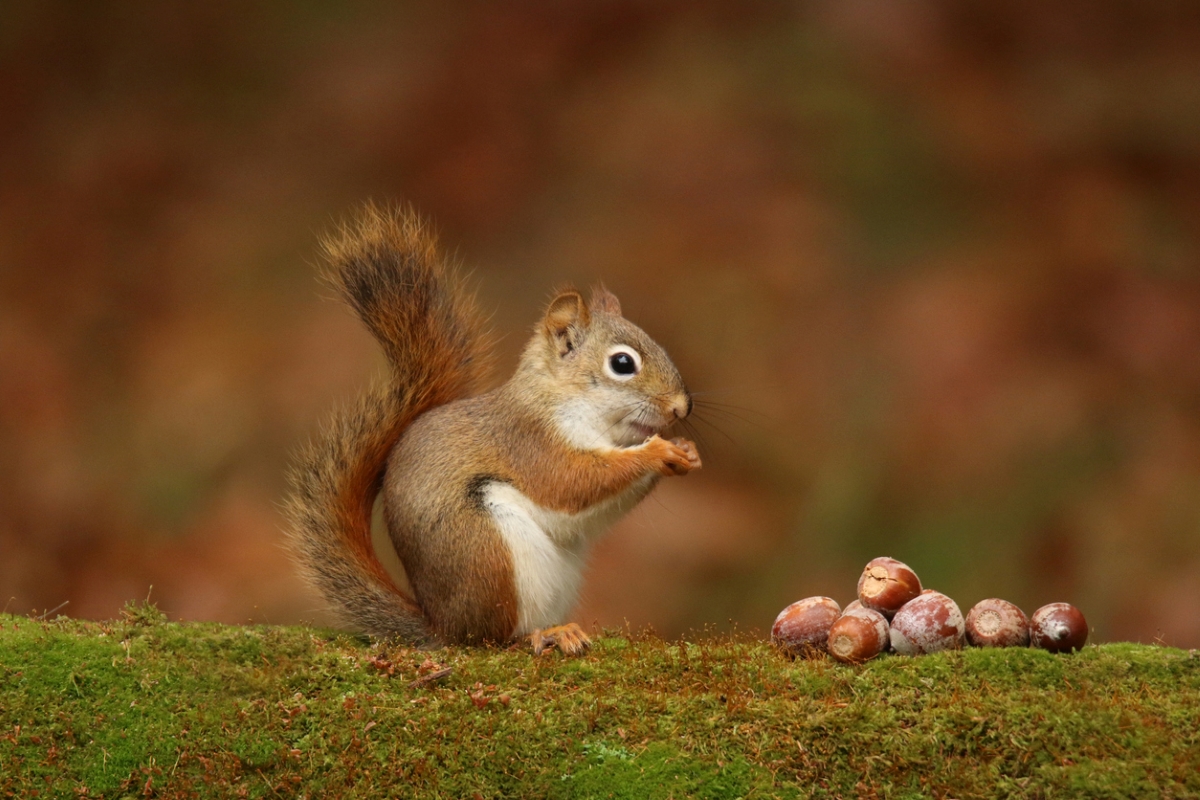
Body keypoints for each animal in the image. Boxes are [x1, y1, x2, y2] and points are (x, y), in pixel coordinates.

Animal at [284, 201, 700, 657]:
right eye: (623, 364)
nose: (682, 407)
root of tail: (443, 627)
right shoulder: (530, 442)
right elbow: (572, 482)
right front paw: (658, 451)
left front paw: (686, 451)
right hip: (488, 550)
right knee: (492, 638)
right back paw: (544, 635)